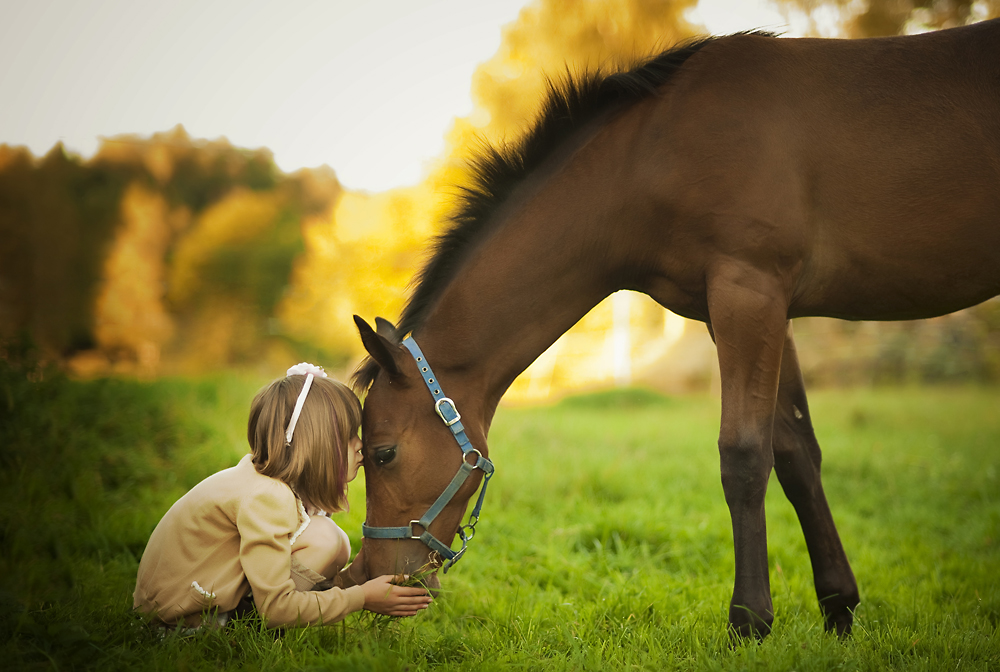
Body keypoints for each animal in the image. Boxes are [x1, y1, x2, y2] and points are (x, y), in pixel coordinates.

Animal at [340, 21, 996, 640]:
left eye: (384, 453)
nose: (371, 574)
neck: (651, 156)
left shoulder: (749, 293)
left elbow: (744, 455)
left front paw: (749, 621)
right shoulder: (752, 311)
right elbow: (796, 454)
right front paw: (838, 610)